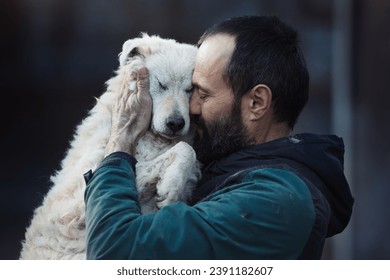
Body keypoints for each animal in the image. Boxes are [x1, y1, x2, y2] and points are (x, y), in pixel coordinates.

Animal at [19, 34, 201, 260]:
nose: (175, 124)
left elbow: (186, 151)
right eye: (161, 84)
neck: (152, 138)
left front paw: (171, 186)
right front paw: (169, 188)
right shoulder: (77, 202)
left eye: (191, 89)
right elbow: (182, 149)